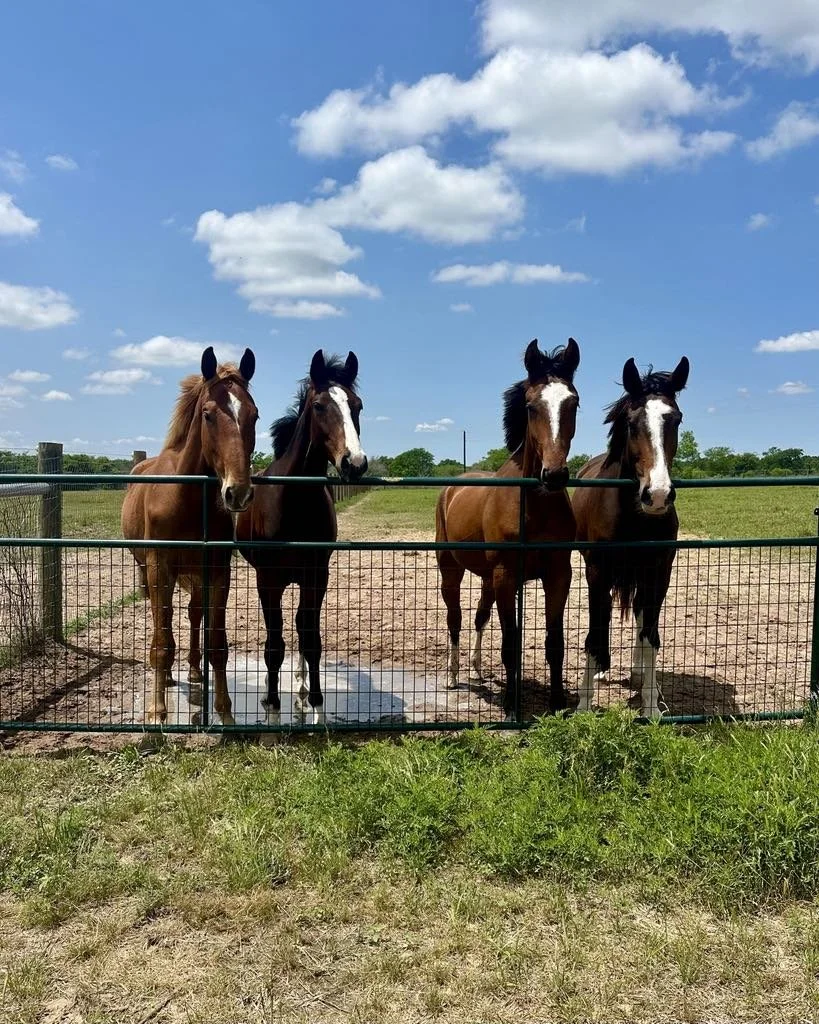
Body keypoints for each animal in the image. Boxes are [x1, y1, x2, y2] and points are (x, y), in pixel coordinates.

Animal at [121, 347, 258, 725]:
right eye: (208, 414)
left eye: (254, 415)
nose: (237, 493)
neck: (186, 498)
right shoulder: (159, 567)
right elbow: (161, 643)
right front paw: (156, 713)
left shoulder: (217, 570)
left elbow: (217, 644)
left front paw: (225, 712)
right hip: (150, 571)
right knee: (165, 620)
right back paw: (168, 679)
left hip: (196, 576)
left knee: (194, 615)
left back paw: (195, 673)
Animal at [236, 349, 367, 725]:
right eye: (319, 406)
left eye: (358, 406)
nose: (354, 463)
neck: (294, 502)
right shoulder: (268, 580)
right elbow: (274, 645)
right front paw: (273, 710)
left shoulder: (316, 576)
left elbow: (311, 640)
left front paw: (318, 709)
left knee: (300, 628)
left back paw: (301, 689)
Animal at [435, 338, 580, 721]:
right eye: (531, 407)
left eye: (573, 402)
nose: (554, 475)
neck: (533, 505)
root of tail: (451, 488)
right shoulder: (506, 576)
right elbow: (510, 643)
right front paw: (512, 708)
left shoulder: (558, 574)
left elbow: (554, 642)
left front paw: (557, 703)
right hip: (452, 570)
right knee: (455, 619)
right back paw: (453, 677)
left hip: (487, 579)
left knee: (478, 618)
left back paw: (476, 670)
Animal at [573, 355, 689, 718]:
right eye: (630, 422)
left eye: (675, 419)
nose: (658, 495)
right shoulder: (598, 572)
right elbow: (595, 635)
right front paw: (584, 705)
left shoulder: (659, 572)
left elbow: (650, 636)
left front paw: (651, 705)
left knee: (639, 615)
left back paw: (639, 676)